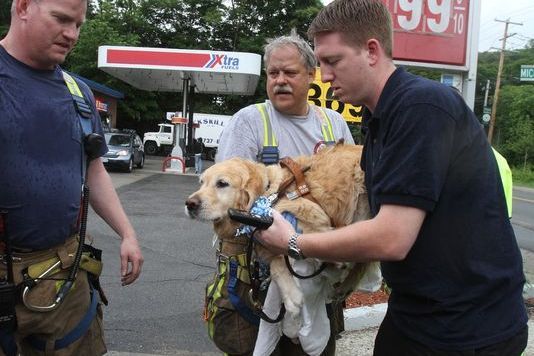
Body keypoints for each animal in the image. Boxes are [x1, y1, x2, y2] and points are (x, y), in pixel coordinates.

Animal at [184, 143, 372, 336]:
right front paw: (291, 296)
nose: (189, 204)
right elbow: (277, 263)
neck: (269, 194)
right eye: (201, 182)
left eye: (222, 183)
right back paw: (343, 288)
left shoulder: (313, 216)